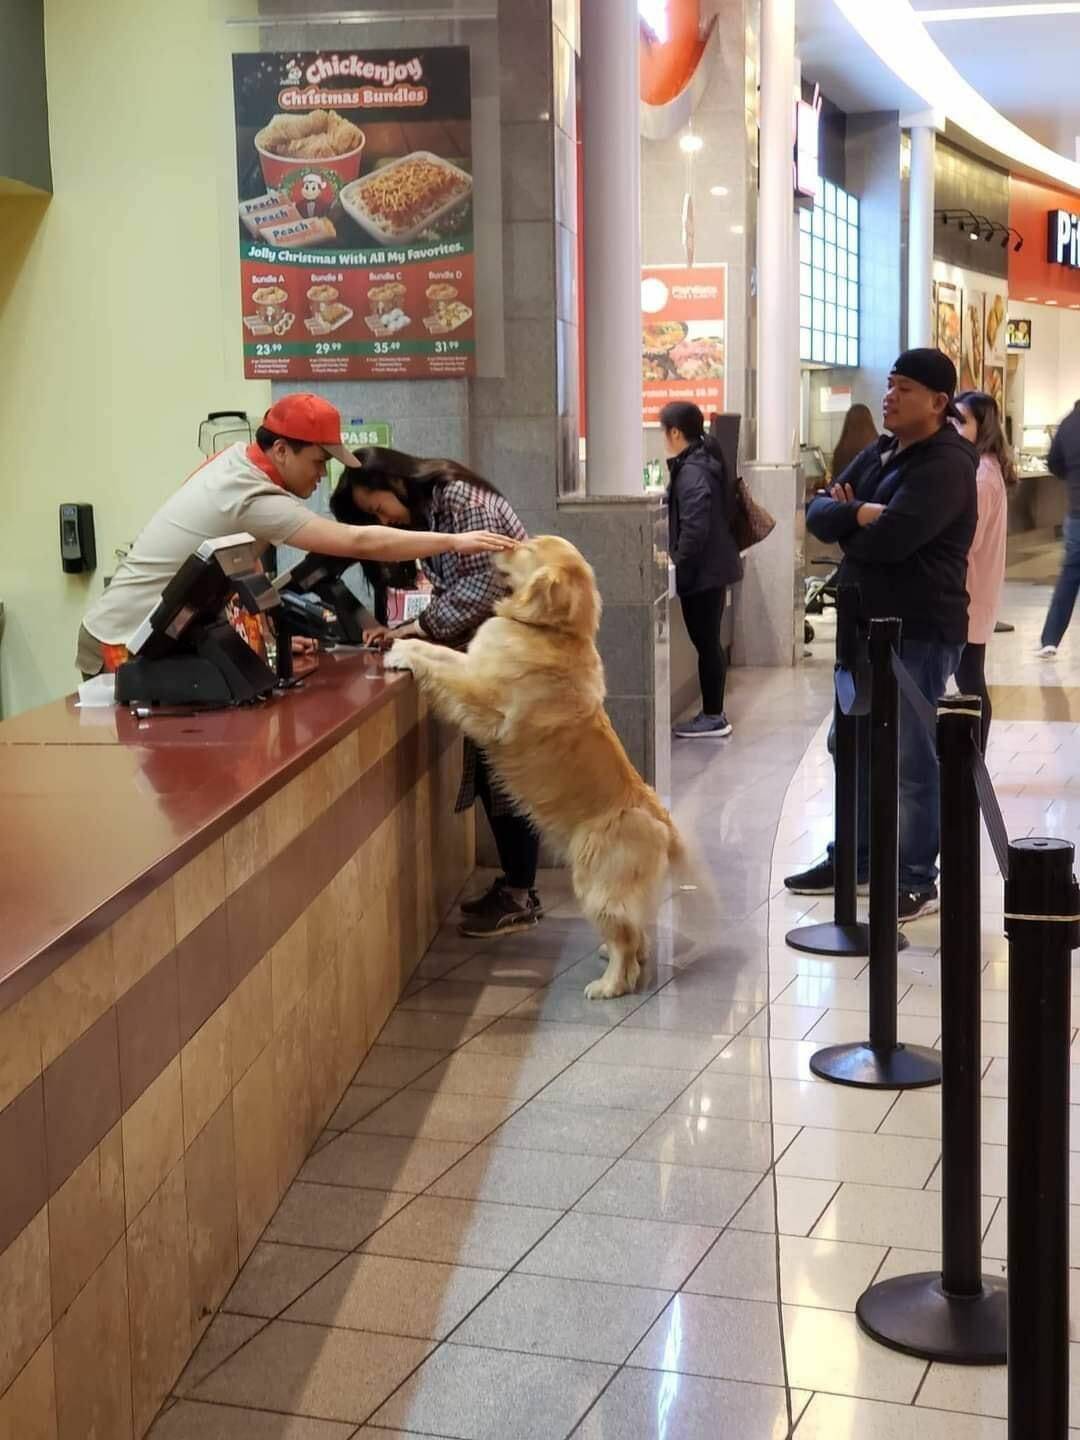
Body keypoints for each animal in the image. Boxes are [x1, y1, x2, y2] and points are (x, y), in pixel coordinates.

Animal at [385, 538, 696, 1002]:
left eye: (525, 547)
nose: (494, 544)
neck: (551, 631)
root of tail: (663, 824)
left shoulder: (484, 700)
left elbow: (442, 670)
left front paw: (402, 651)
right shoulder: (474, 665)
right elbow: (441, 653)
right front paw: (404, 644)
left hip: (594, 884)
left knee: (626, 943)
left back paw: (608, 983)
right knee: (635, 936)